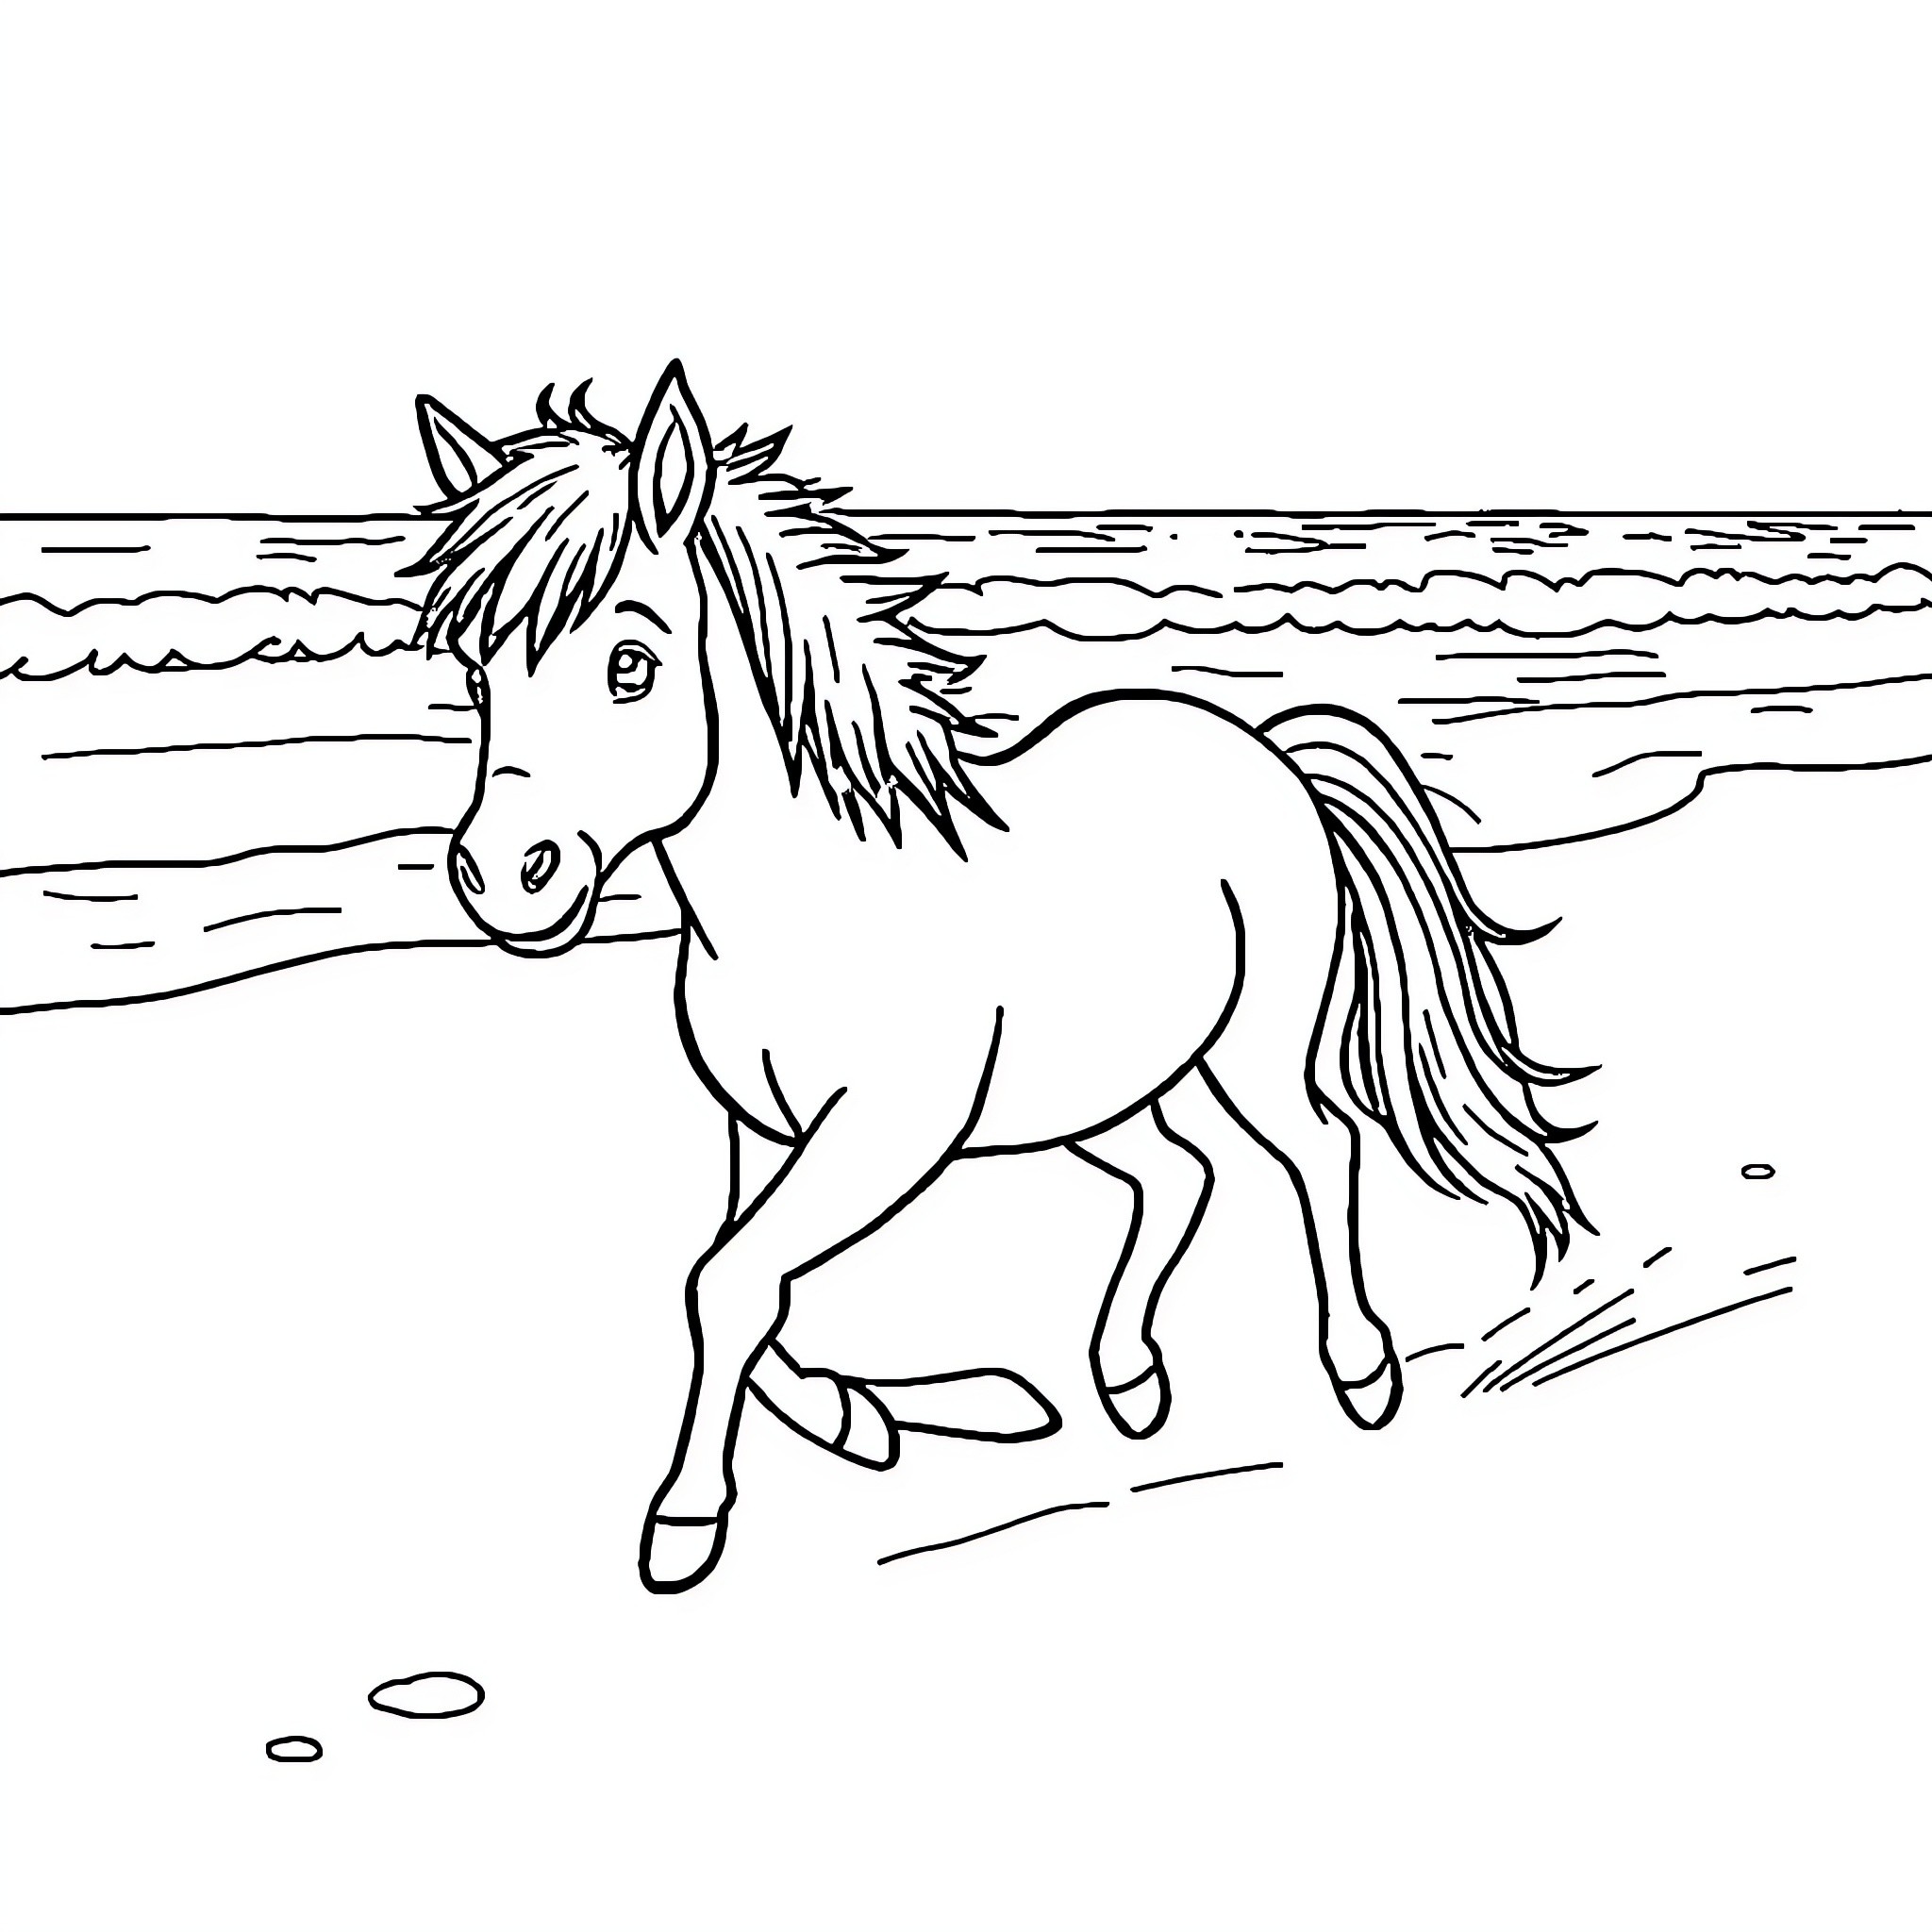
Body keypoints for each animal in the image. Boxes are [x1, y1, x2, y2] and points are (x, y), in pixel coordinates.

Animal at [406, 361, 1588, 1593]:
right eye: (479, 674)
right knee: (1178, 1174)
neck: (806, 904)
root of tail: (1262, 743)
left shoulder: (883, 1132)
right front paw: (863, 1419)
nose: (504, 877)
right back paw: (1124, 1378)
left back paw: (1357, 1369)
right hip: (1098, 1082)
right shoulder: (759, 1128)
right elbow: (727, 1283)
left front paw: (688, 1520)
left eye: (628, 665)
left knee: (1319, 1148)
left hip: (1251, 1048)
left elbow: (728, 1282)